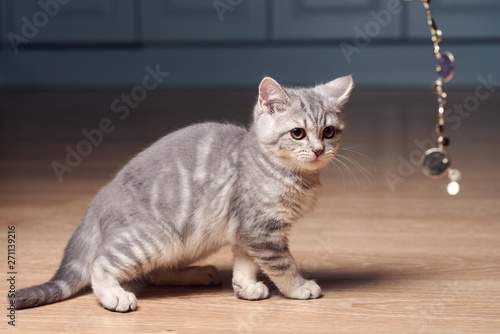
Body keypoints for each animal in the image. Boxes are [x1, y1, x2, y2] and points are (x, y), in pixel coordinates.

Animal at [14, 74, 352, 312]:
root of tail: (100, 198)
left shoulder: (244, 230)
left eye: (329, 132)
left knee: (152, 273)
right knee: (102, 263)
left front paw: (245, 287)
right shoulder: (261, 230)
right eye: (297, 133)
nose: (318, 150)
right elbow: (282, 264)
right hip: (157, 237)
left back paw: (197, 274)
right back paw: (114, 295)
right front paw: (298, 287)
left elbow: (246, 262)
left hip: (186, 240)